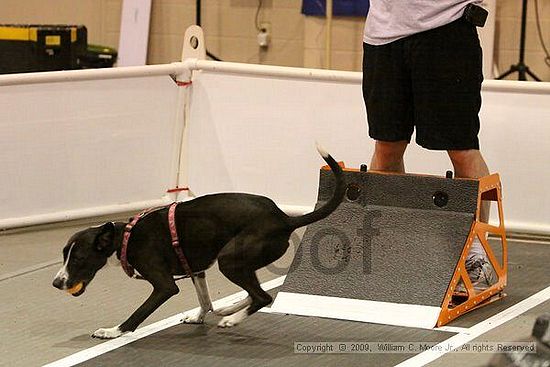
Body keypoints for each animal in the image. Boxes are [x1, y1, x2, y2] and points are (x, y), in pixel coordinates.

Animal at [51, 146, 344, 340]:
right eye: (64, 254)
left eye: (78, 258)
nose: (56, 283)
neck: (126, 237)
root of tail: (284, 219)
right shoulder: (196, 269)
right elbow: (205, 299)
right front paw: (200, 315)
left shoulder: (164, 286)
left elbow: (138, 314)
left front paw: (113, 331)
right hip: (240, 262)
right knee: (253, 293)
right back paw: (229, 309)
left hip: (229, 260)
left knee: (262, 296)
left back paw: (232, 319)